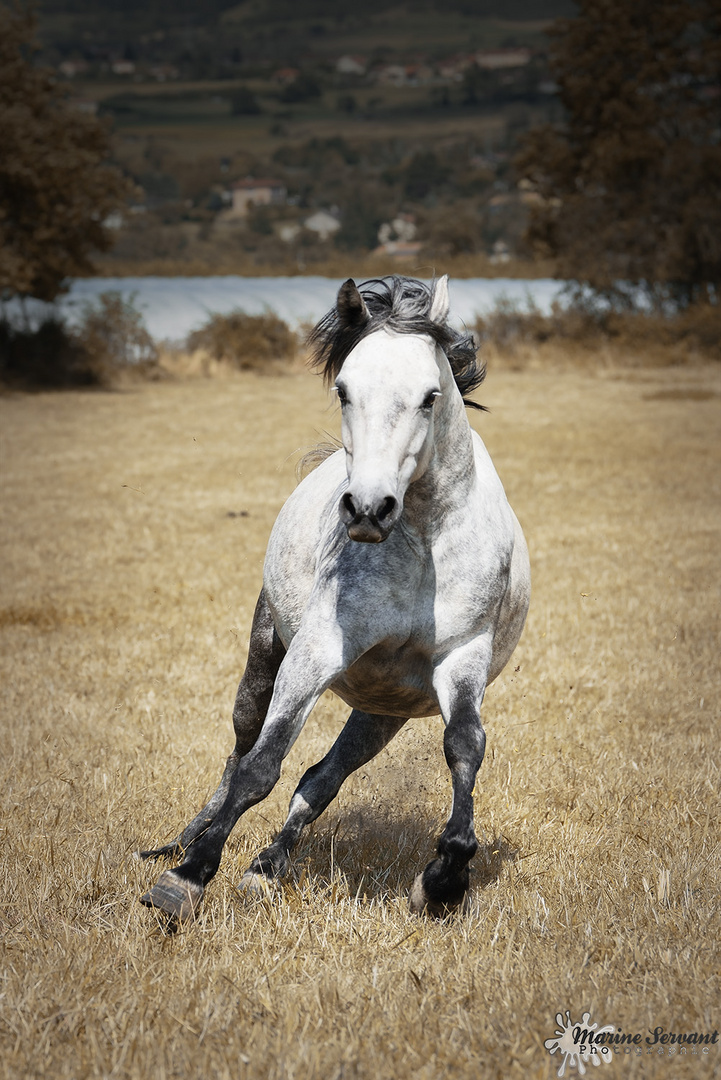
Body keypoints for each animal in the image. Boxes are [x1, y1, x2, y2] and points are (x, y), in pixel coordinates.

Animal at [139, 276, 528, 920]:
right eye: (344, 390)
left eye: (428, 397)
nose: (369, 509)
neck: (423, 545)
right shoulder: (317, 650)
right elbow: (260, 766)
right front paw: (186, 878)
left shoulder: (462, 657)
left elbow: (465, 746)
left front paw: (445, 877)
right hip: (268, 654)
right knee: (242, 748)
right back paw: (187, 840)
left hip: (380, 712)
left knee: (320, 779)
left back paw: (265, 870)